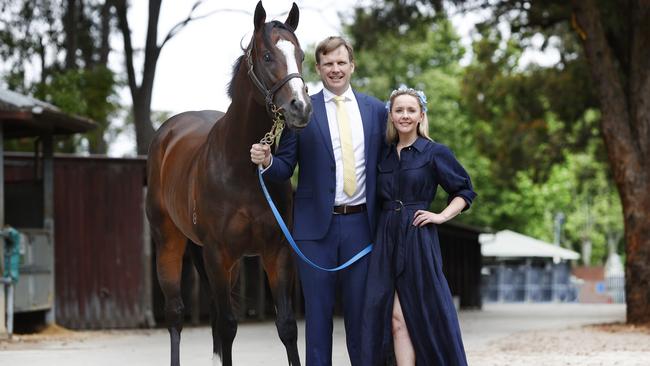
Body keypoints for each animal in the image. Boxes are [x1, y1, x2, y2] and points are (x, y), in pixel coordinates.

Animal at [145, 1, 312, 364]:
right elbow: (228, 325)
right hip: (170, 243)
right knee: (176, 315)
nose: (301, 108)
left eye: (302, 56)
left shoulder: (276, 252)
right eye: (267, 56)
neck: (241, 170)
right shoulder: (217, 254)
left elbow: (287, 326)